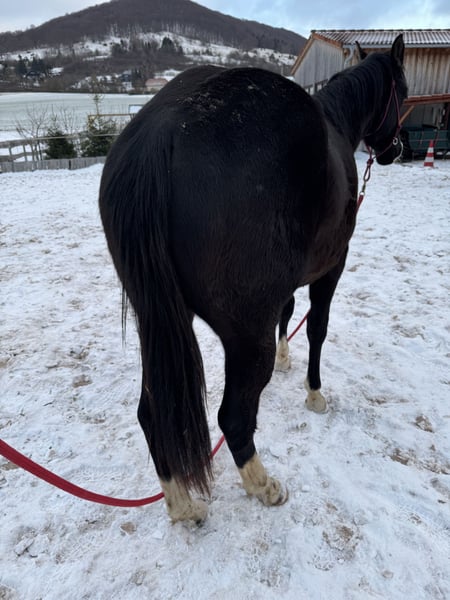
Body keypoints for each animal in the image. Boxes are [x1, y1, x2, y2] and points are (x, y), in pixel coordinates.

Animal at [99, 35, 407, 523]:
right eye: (404, 90)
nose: (398, 149)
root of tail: (159, 134)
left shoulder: (288, 282)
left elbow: (289, 312)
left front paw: (285, 359)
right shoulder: (330, 268)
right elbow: (316, 329)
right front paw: (314, 394)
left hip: (158, 322)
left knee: (153, 413)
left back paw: (182, 505)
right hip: (244, 336)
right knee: (234, 419)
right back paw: (263, 485)